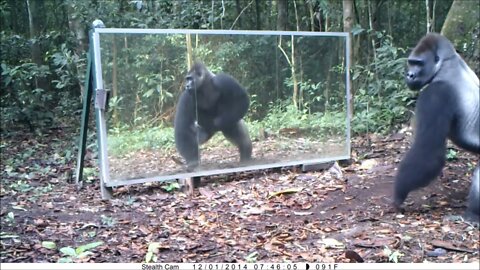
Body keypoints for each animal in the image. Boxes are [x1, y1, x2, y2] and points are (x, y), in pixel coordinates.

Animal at [394, 32, 480, 221]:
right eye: (411, 62)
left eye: (419, 63)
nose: (409, 75)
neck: (447, 63)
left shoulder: (436, 93)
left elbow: (428, 154)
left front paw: (399, 193)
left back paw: (472, 216)